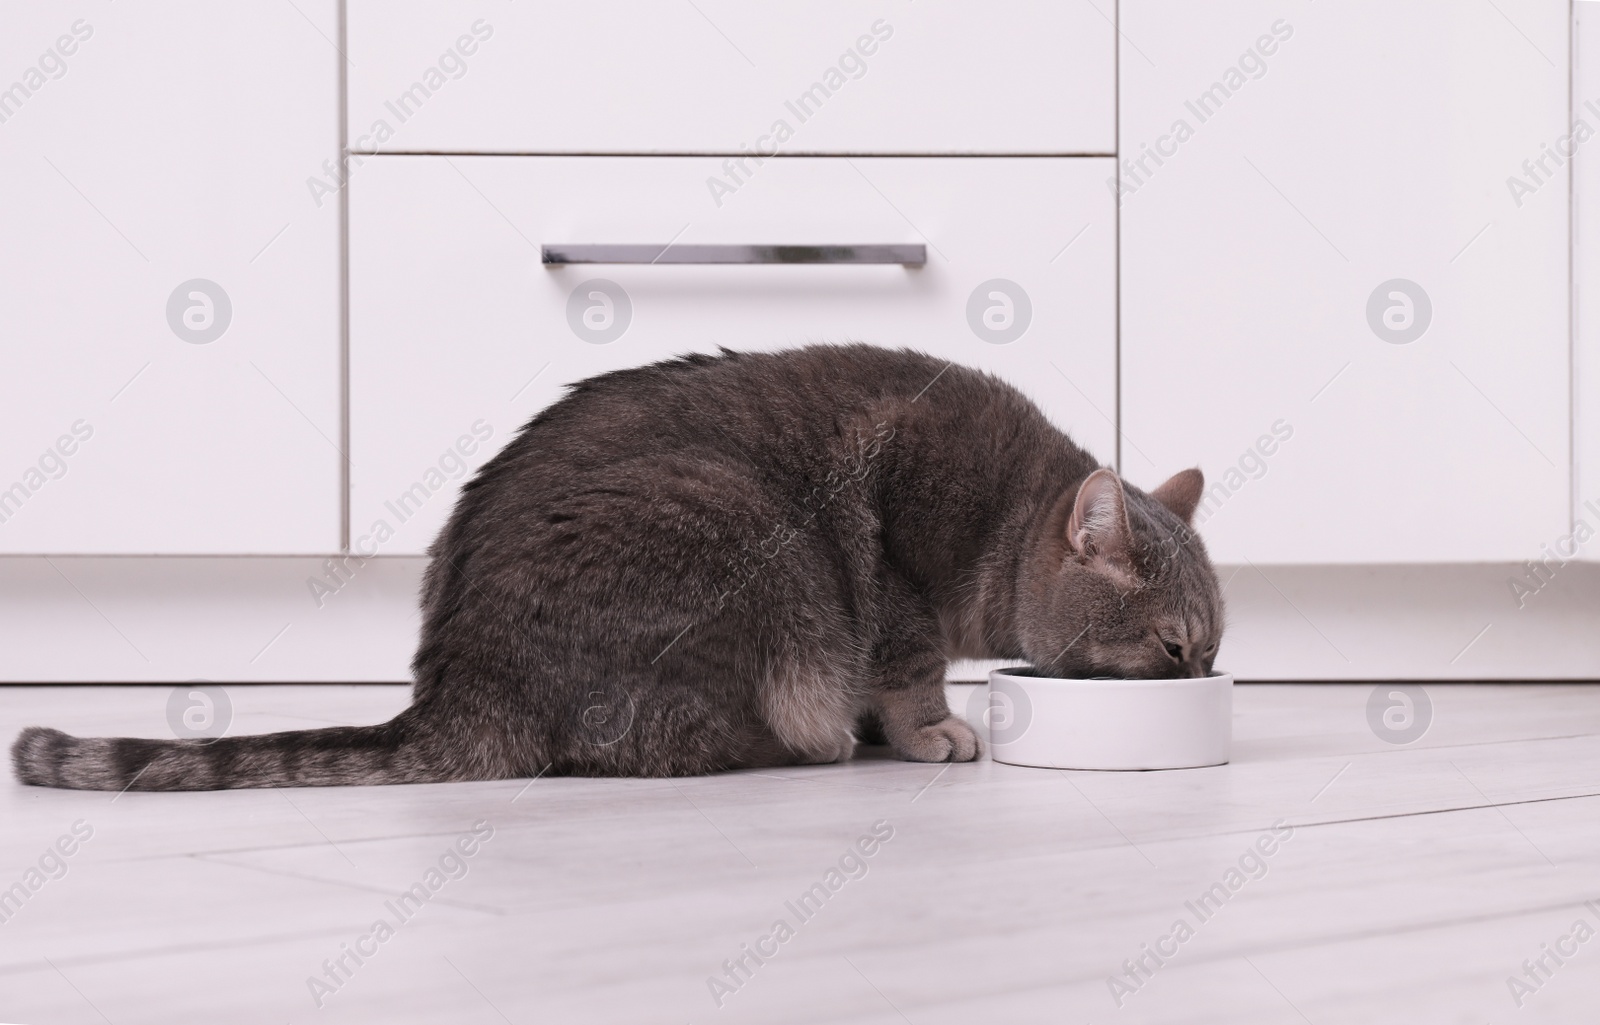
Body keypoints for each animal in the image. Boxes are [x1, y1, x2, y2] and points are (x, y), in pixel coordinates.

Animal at [9, 345, 1222, 793]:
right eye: (1172, 646)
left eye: (1213, 651)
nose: (1201, 678)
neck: (1005, 515)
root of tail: (456, 688)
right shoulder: (899, 567)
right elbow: (910, 667)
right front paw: (928, 731)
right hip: (749, 535)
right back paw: (814, 742)